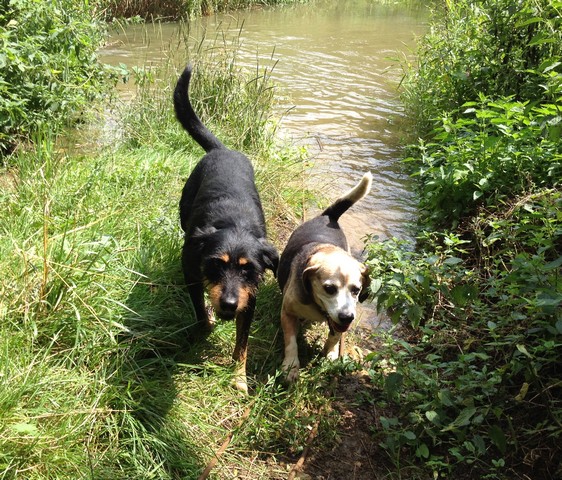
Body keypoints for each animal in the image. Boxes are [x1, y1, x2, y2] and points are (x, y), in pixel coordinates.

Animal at [173, 64, 278, 394]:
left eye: (248, 269)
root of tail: (224, 148)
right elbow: (200, 314)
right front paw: (206, 324)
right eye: (215, 265)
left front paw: (238, 377)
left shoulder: (250, 296)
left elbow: (242, 342)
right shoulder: (191, 273)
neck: (234, 224)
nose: (229, 305)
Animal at [276, 172, 372, 382]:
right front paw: (291, 366)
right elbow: (291, 342)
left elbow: (335, 336)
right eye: (329, 289)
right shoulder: (287, 312)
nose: (347, 317)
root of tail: (329, 216)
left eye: (356, 290)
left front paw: (330, 353)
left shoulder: (338, 322)